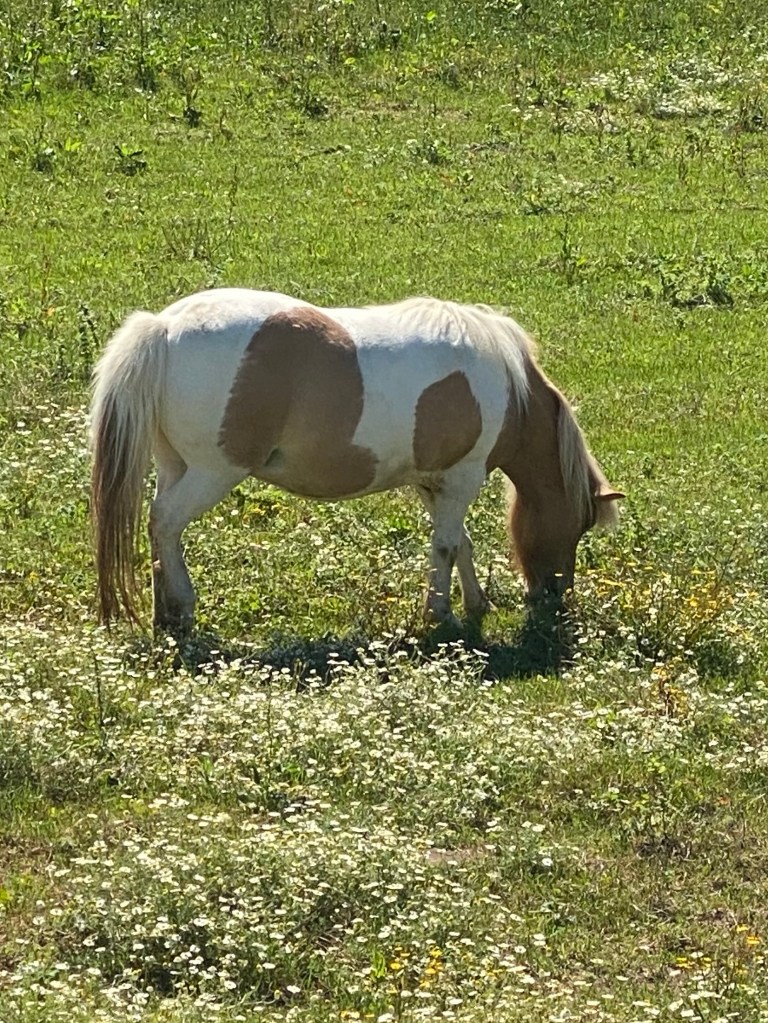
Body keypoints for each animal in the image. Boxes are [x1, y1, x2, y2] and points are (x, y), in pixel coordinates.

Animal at [90, 288, 623, 634]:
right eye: (578, 525)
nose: (553, 598)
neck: (508, 390)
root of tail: (164, 327)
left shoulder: (433, 483)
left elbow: (461, 545)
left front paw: (474, 604)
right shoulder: (461, 478)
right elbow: (446, 547)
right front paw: (441, 614)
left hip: (176, 466)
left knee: (161, 529)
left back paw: (164, 612)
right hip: (212, 473)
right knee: (164, 521)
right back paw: (183, 605)